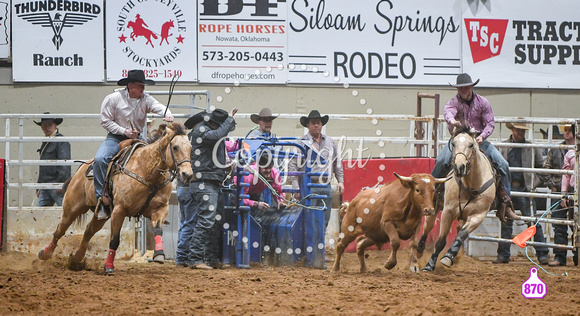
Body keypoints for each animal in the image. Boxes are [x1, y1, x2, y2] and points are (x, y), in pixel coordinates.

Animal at [38, 122, 193, 276]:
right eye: (175, 147)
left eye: (191, 148)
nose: (187, 174)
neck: (147, 171)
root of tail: (80, 169)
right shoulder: (119, 210)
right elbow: (114, 240)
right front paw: (108, 267)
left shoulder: (160, 209)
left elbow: (158, 230)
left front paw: (159, 254)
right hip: (71, 208)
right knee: (60, 230)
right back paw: (45, 254)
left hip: (101, 215)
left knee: (88, 231)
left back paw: (76, 259)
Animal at [422, 128, 498, 272]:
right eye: (454, 143)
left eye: (471, 145)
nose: (459, 167)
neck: (471, 185)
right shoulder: (448, 211)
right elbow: (440, 241)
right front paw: (429, 265)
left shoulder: (478, 216)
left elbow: (462, 235)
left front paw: (448, 257)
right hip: (435, 206)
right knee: (427, 227)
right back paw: (418, 249)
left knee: (458, 229)